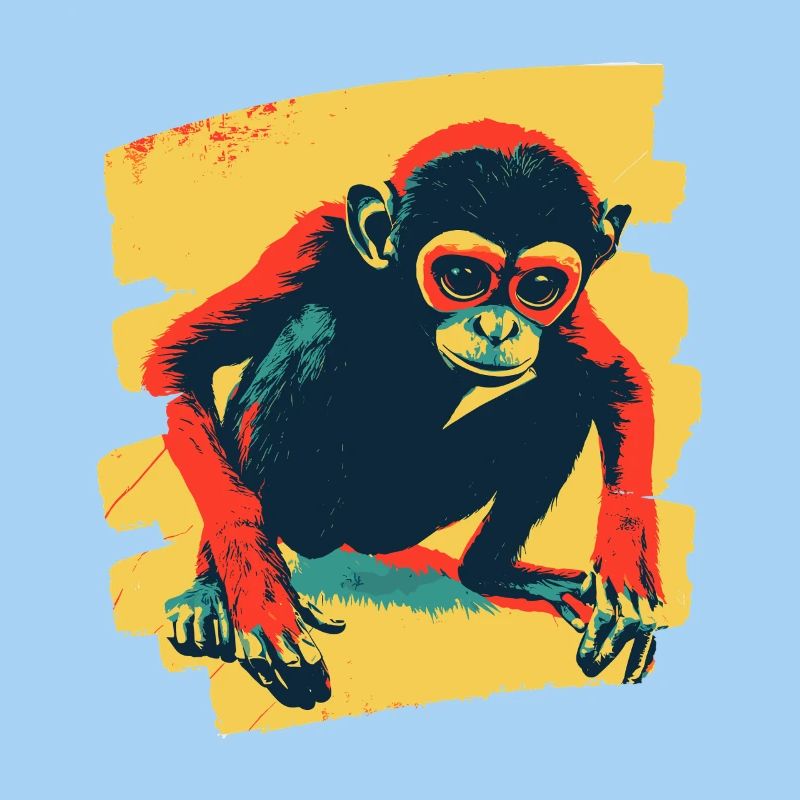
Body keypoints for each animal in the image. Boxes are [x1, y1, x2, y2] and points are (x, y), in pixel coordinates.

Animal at [146, 120, 663, 710]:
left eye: (538, 288)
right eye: (462, 275)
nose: (499, 327)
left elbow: (617, 380)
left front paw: (625, 579)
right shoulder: (310, 244)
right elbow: (179, 369)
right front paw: (257, 596)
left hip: (401, 514)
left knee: (561, 394)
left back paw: (490, 572)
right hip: (311, 516)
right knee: (315, 324)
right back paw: (216, 592)